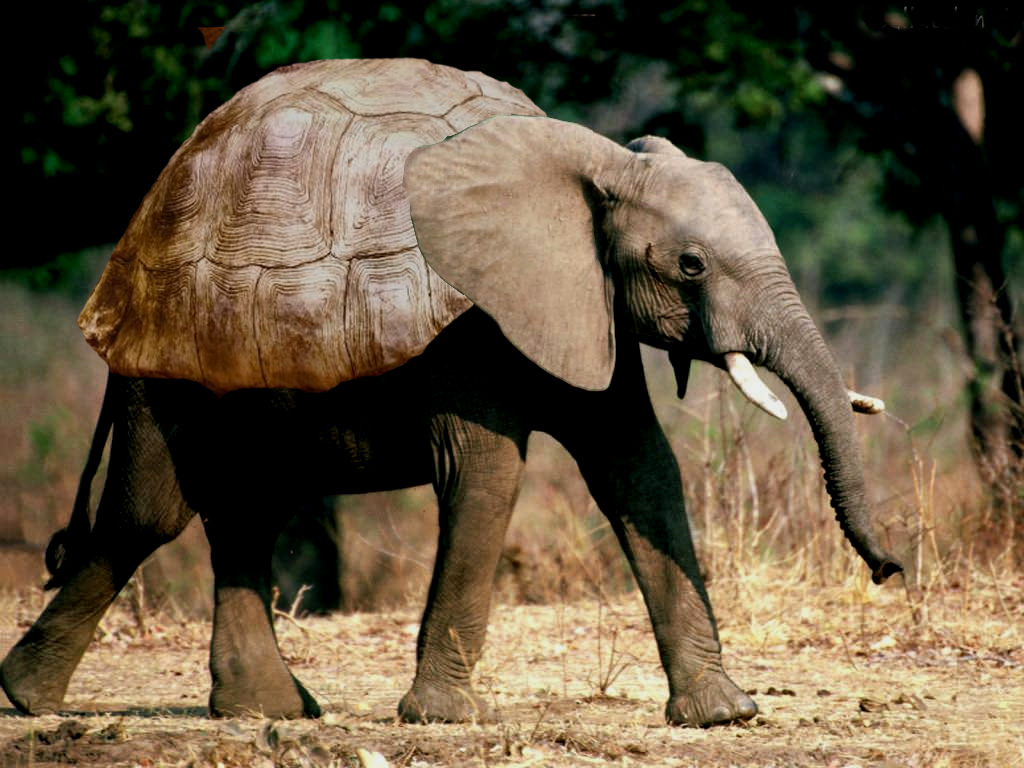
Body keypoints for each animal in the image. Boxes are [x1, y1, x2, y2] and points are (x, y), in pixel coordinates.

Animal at [0, 117, 902, 728]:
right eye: (690, 266)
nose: (890, 570)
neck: (595, 161)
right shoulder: (471, 320)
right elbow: (490, 470)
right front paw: (441, 719)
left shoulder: (584, 298)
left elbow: (638, 467)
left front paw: (723, 714)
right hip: (171, 359)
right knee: (148, 515)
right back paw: (30, 700)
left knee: (249, 512)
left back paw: (269, 712)